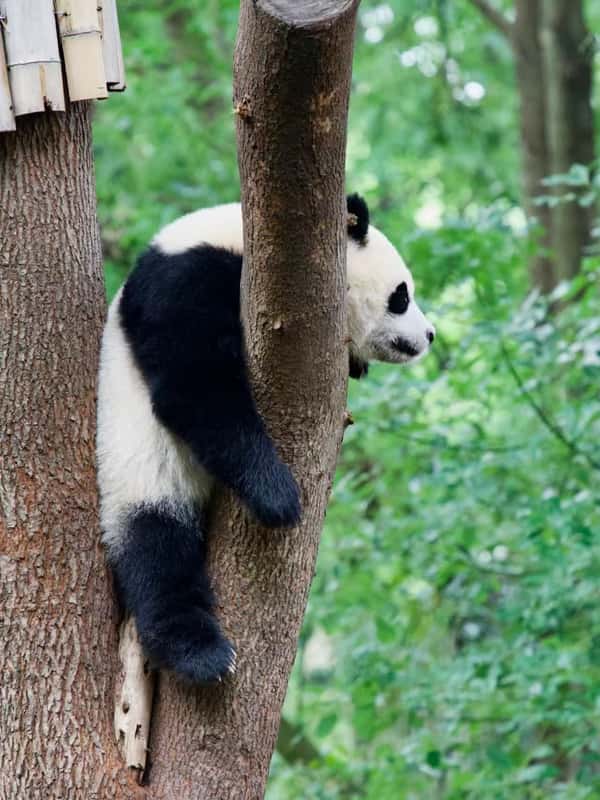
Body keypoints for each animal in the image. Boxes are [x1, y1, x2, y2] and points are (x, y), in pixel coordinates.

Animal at [96, 194, 435, 684]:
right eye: (401, 296)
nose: (429, 335)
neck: (242, 242)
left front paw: (356, 362)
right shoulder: (184, 280)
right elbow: (194, 388)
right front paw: (277, 496)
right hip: (138, 473)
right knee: (158, 553)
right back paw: (200, 654)